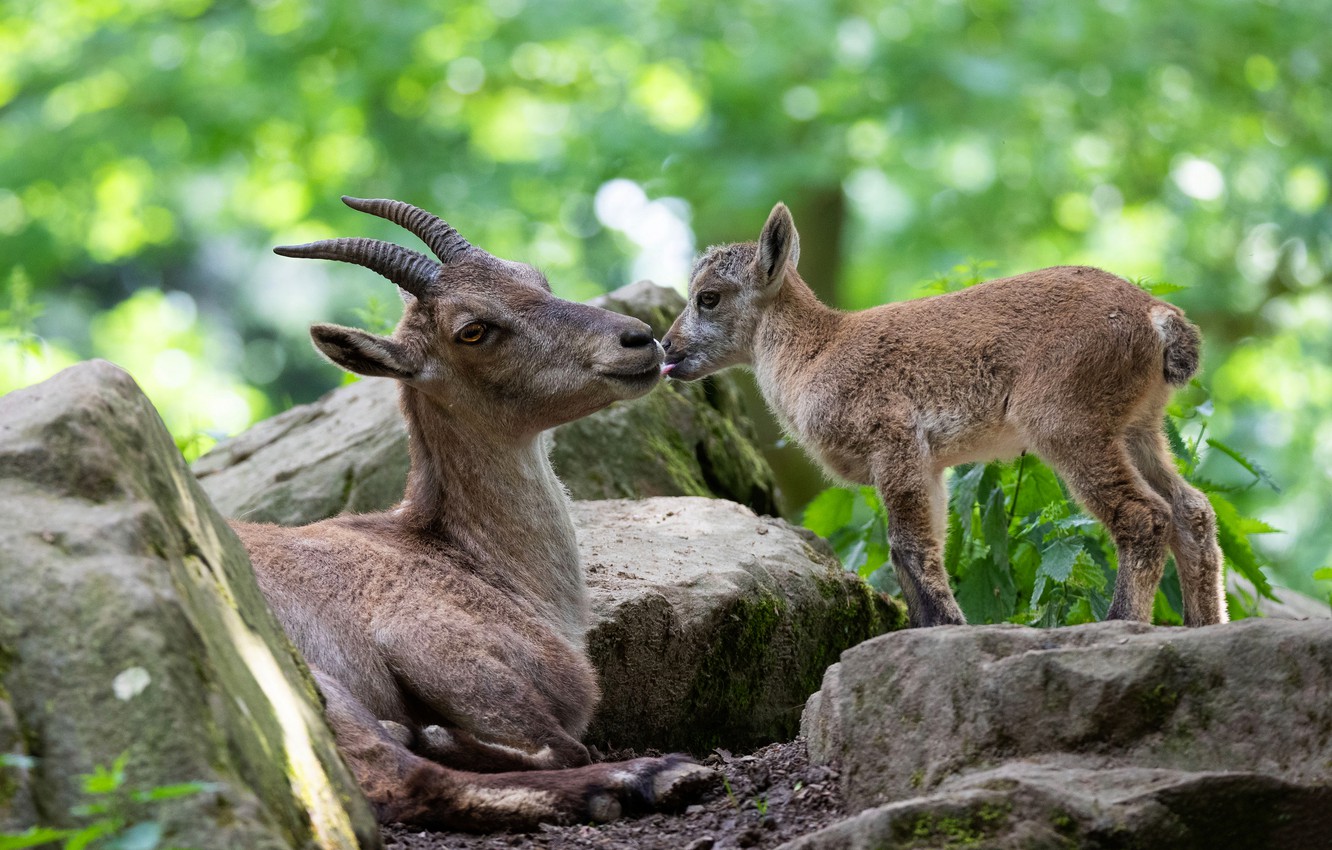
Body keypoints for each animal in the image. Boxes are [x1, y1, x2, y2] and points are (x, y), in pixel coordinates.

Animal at [231, 197, 713, 831]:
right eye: (474, 330)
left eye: (535, 278)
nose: (639, 339)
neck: (481, 563)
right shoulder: (426, 637)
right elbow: (563, 741)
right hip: (294, 675)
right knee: (401, 780)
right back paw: (646, 777)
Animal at [660, 202, 1226, 629]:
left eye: (707, 298)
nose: (667, 348)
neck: (817, 354)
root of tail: (1158, 318)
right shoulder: (932, 464)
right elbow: (917, 546)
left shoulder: (895, 439)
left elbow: (909, 545)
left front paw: (947, 628)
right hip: (1137, 426)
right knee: (1192, 509)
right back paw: (1203, 624)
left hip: (1066, 419)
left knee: (1145, 515)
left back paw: (1120, 621)